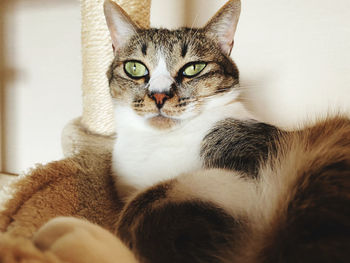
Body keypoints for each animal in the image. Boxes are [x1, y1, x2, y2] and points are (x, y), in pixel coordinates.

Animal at [32, 0, 350, 262]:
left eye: (193, 68)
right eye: (135, 68)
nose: (159, 95)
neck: (159, 143)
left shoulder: (253, 162)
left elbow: (148, 198)